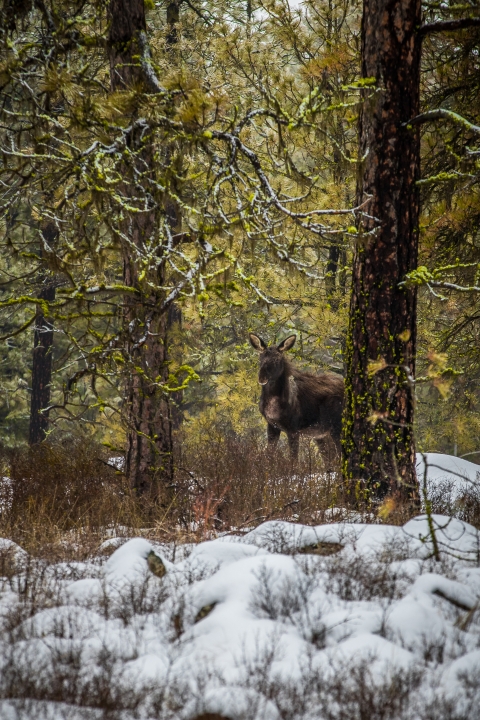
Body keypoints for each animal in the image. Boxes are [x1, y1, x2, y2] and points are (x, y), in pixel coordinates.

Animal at [249, 333, 344, 467]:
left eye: (277, 360)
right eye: (260, 358)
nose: (262, 378)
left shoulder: (293, 428)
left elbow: (293, 460)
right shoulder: (272, 425)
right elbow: (269, 454)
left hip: (337, 425)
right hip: (322, 434)